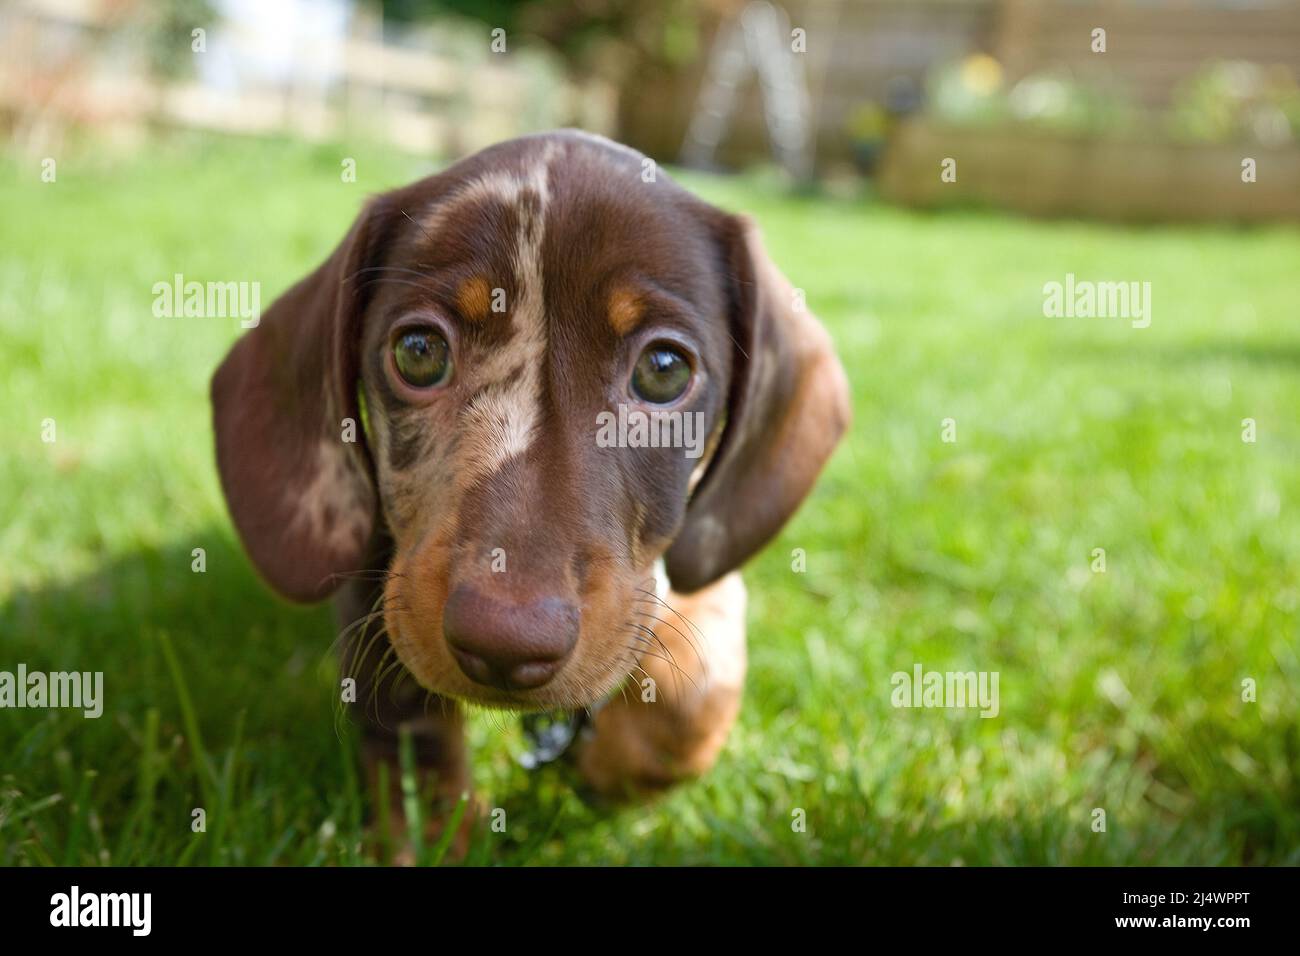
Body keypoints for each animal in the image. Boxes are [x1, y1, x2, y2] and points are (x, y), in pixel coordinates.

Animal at [209, 132, 847, 837]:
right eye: (418, 352)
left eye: (664, 369)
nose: (504, 644)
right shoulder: (376, 566)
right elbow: (408, 727)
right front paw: (433, 831)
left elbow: (692, 692)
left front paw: (610, 765)